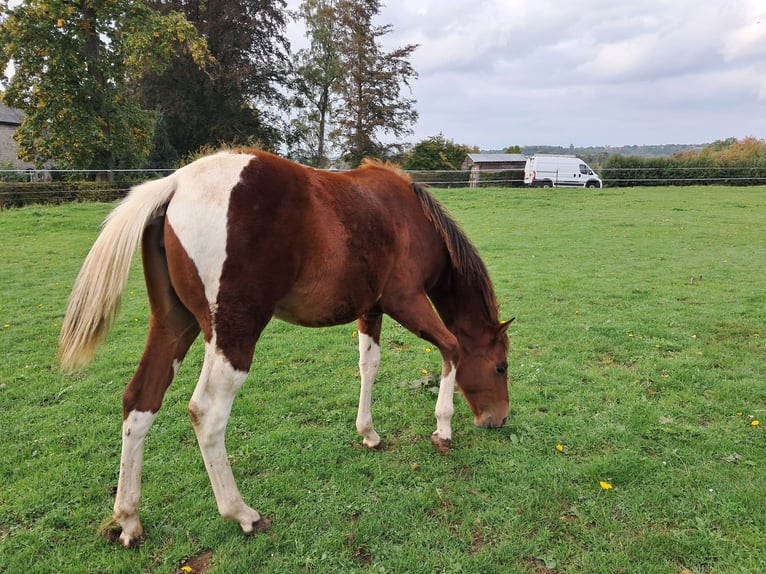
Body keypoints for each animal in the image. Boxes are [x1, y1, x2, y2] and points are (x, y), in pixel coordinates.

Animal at [58, 149, 512, 547]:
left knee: (140, 401)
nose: (499, 419)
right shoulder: (407, 302)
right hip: (233, 336)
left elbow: (369, 365)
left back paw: (129, 520)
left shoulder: (371, 310)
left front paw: (368, 433)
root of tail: (176, 184)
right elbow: (451, 348)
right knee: (206, 413)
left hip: (173, 326)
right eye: (501, 367)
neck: (410, 216)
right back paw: (241, 513)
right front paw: (443, 429)